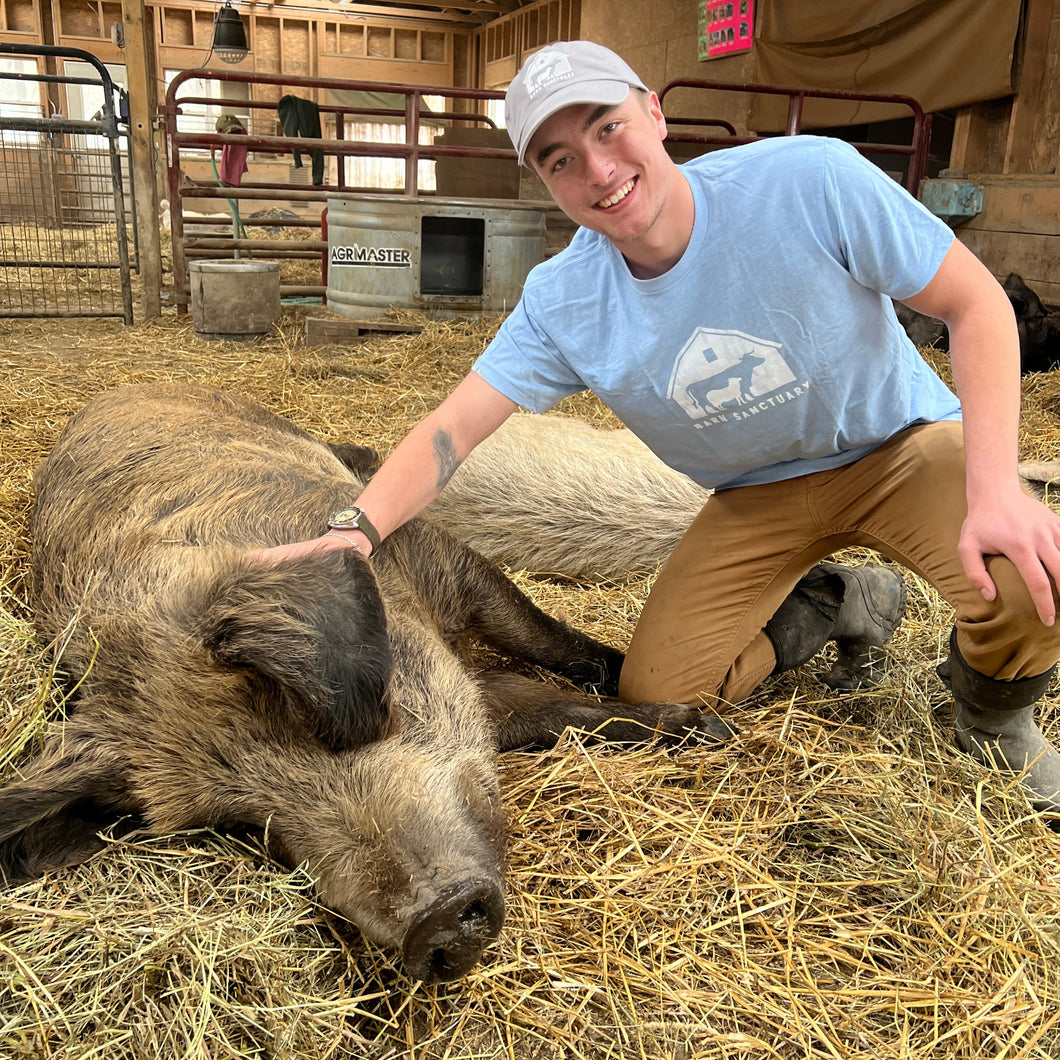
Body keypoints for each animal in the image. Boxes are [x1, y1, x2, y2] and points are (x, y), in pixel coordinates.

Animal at [2, 383, 729, 983]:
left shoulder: (439, 558)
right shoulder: (471, 691)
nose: (428, 927)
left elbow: (536, 632)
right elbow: (550, 711)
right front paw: (702, 724)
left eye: (318, 718)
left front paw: (705, 718)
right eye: (245, 824)